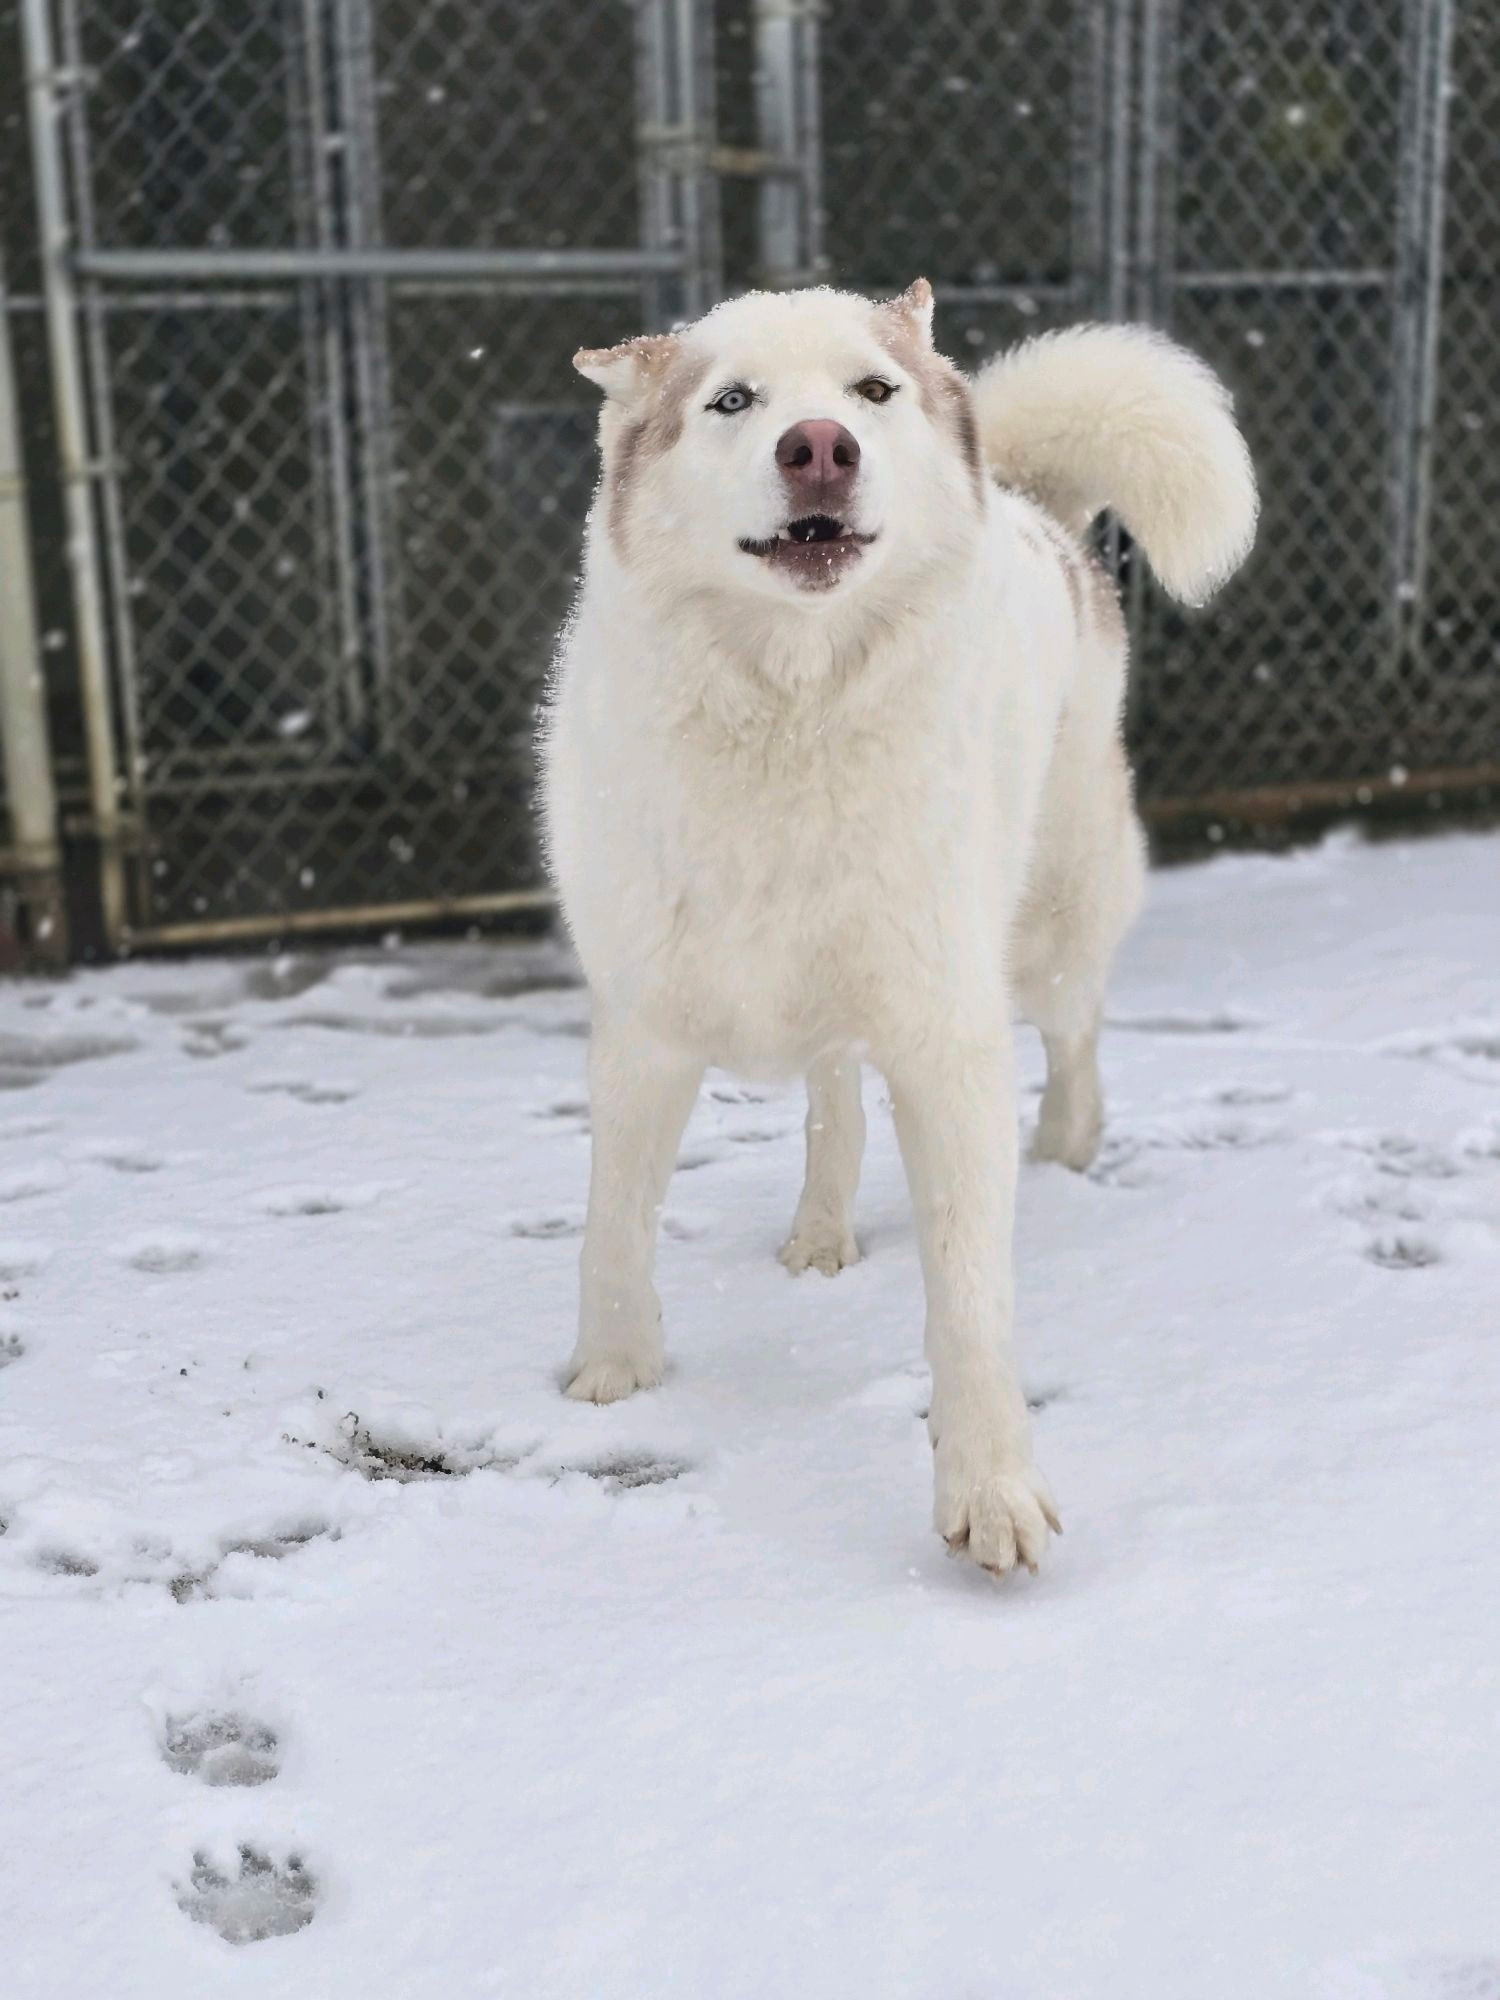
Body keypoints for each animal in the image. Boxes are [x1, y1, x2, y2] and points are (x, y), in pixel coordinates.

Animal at [541, 279, 1256, 1576]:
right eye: (734, 402)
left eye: (872, 391)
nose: (820, 446)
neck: (792, 714)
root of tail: (1034, 507)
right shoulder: (642, 1026)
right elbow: (612, 1222)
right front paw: (612, 1373)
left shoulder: (947, 1038)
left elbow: (970, 1297)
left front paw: (991, 1491)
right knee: (835, 1098)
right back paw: (822, 1232)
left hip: (1048, 928)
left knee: (1076, 1036)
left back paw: (1068, 1144)